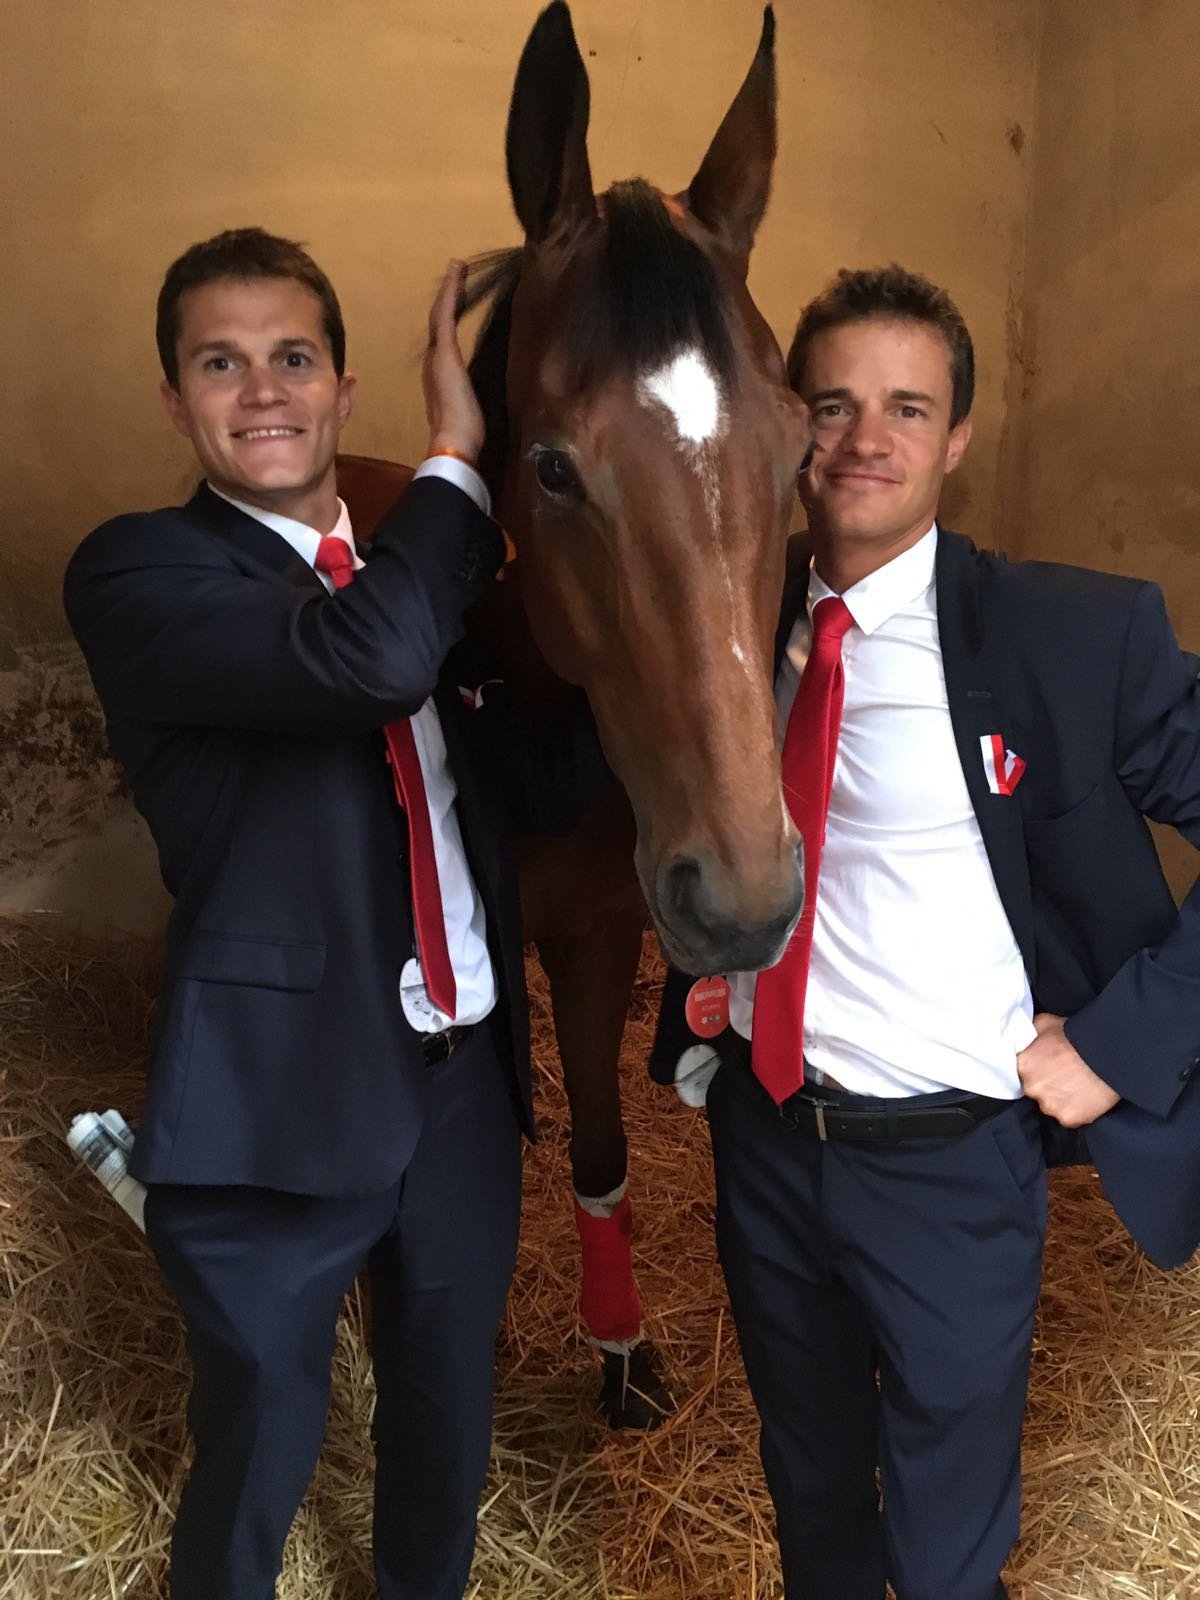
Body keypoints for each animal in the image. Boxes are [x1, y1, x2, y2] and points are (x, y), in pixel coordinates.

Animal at [344, 0, 807, 1427]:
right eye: (552, 466)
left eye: (799, 446)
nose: (748, 896)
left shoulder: (603, 936)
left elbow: (601, 1149)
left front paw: (619, 1348)